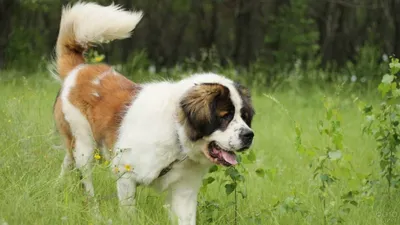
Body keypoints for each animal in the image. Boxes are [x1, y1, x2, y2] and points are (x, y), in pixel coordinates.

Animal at [53, 2, 255, 225]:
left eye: (244, 117)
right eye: (225, 116)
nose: (249, 135)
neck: (176, 134)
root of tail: (79, 69)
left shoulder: (184, 191)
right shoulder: (125, 174)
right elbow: (129, 213)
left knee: (67, 163)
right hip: (84, 146)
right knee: (86, 181)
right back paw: (94, 213)